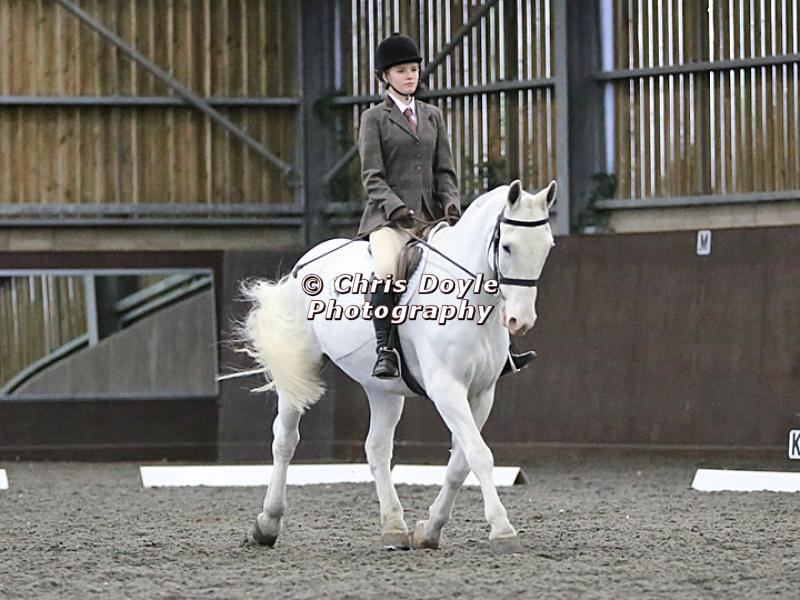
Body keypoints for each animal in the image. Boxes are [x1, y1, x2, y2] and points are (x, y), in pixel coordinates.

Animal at [238, 179, 557, 554]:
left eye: (547, 247)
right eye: (506, 246)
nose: (520, 321)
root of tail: (304, 262)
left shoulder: (481, 393)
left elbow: (460, 463)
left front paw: (429, 531)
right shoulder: (446, 388)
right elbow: (479, 454)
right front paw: (502, 529)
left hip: (383, 389)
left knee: (377, 448)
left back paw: (394, 527)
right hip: (301, 369)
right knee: (285, 440)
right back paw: (267, 525)